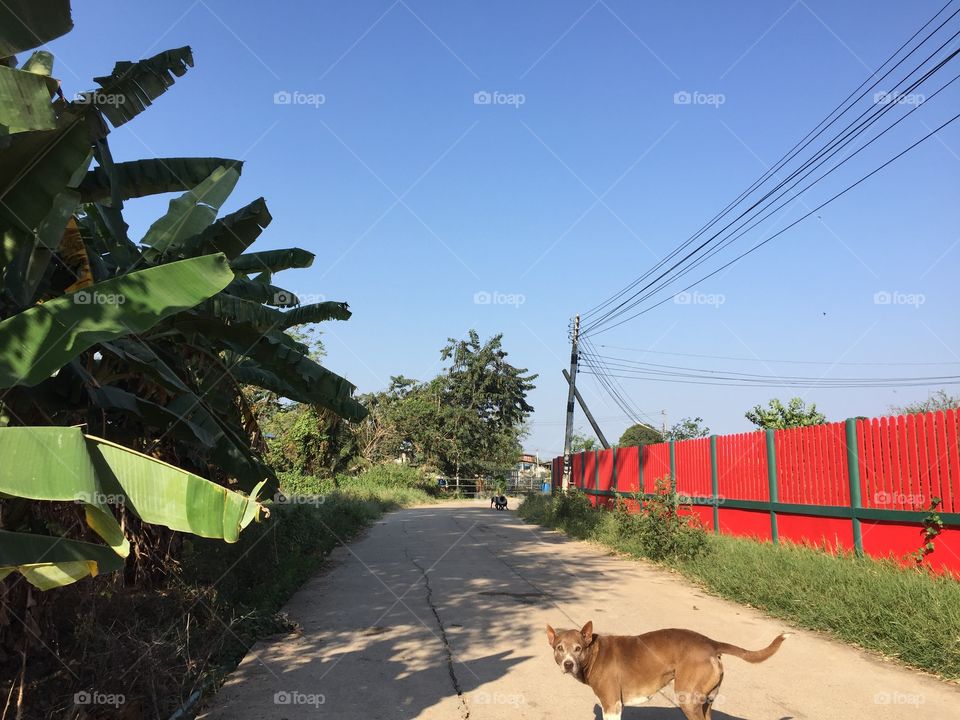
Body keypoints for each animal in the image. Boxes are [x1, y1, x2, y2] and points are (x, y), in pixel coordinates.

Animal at [548, 620, 788, 716]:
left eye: (578, 648)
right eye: (559, 648)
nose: (568, 664)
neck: (594, 652)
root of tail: (710, 643)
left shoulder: (612, 705)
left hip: (688, 699)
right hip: (706, 701)